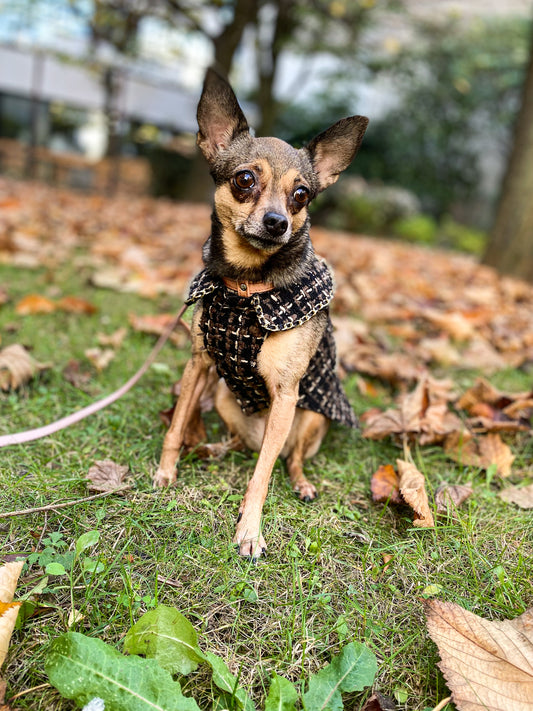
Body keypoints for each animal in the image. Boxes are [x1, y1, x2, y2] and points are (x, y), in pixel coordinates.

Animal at [154, 67, 366, 560]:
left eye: (302, 195)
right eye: (245, 179)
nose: (277, 222)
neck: (245, 286)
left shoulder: (286, 395)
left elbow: (262, 477)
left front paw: (249, 531)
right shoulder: (198, 364)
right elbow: (176, 426)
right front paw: (165, 472)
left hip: (310, 418)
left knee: (287, 459)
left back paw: (302, 482)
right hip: (225, 398)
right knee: (239, 442)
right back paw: (215, 449)